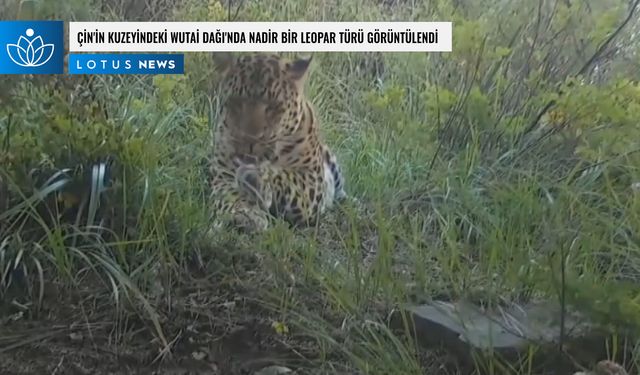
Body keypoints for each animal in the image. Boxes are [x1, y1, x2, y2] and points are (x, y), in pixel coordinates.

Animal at [209, 51, 350, 231]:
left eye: (273, 107)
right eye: (236, 102)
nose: (250, 141)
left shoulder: (312, 178)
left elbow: (286, 179)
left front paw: (254, 177)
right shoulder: (223, 175)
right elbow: (232, 197)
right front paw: (245, 215)